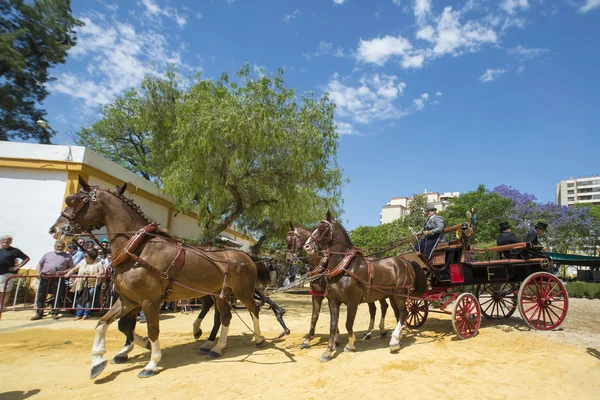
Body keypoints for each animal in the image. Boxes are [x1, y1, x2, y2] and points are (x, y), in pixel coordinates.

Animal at [48, 177, 282, 378]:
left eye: (75, 200)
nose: (55, 230)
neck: (136, 249)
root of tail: (246, 256)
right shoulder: (127, 299)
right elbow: (106, 323)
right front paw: (99, 361)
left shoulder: (149, 301)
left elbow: (151, 330)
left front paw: (151, 363)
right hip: (221, 294)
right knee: (224, 316)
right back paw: (215, 346)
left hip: (242, 292)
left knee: (254, 309)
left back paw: (258, 338)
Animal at [304, 211, 426, 360]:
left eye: (322, 228)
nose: (306, 246)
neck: (345, 267)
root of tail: (406, 261)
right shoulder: (333, 301)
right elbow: (333, 325)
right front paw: (328, 351)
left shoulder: (352, 302)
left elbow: (348, 324)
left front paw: (350, 344)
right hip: (393, 295)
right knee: (398, 314)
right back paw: (397, 338)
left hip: (400, 295)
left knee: (404, 313)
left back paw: (394, 341)